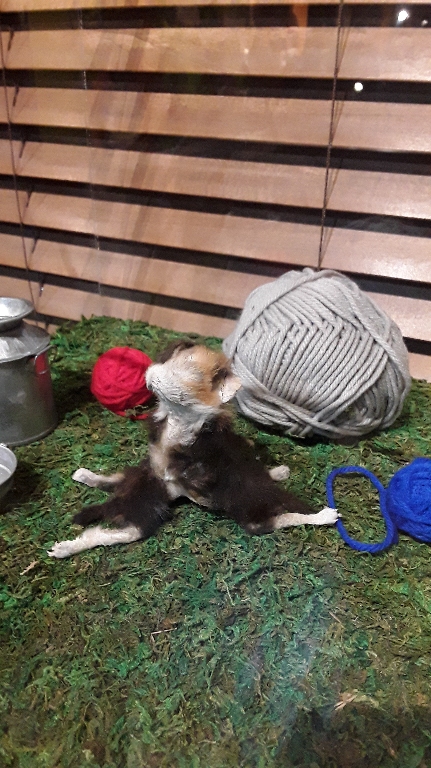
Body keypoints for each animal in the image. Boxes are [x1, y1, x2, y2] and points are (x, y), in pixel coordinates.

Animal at [48, 341, 338, 558]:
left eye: (190, 374)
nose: (151, 372)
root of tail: (117, 499)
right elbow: (287, 515)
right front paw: (323, 514)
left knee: (111, 497)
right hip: (145, 505)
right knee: (109, 529)